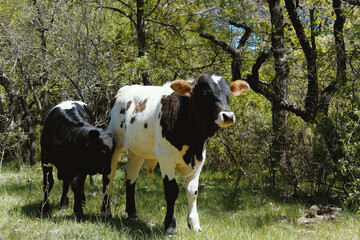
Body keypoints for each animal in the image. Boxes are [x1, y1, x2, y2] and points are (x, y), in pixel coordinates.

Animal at [102, 71, 249, 234]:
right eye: (205, 93)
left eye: (228, 94)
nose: (228, 116)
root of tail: (124, 90)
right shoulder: (166, 157)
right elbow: (171, 190)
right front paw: (170, 226)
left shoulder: (200, 159)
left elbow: (192, 192)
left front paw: (194, 224)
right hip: (114, 141)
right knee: (109, 175)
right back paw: (106, 212)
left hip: (138, 150)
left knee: (131, 175)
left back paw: (132, 213)